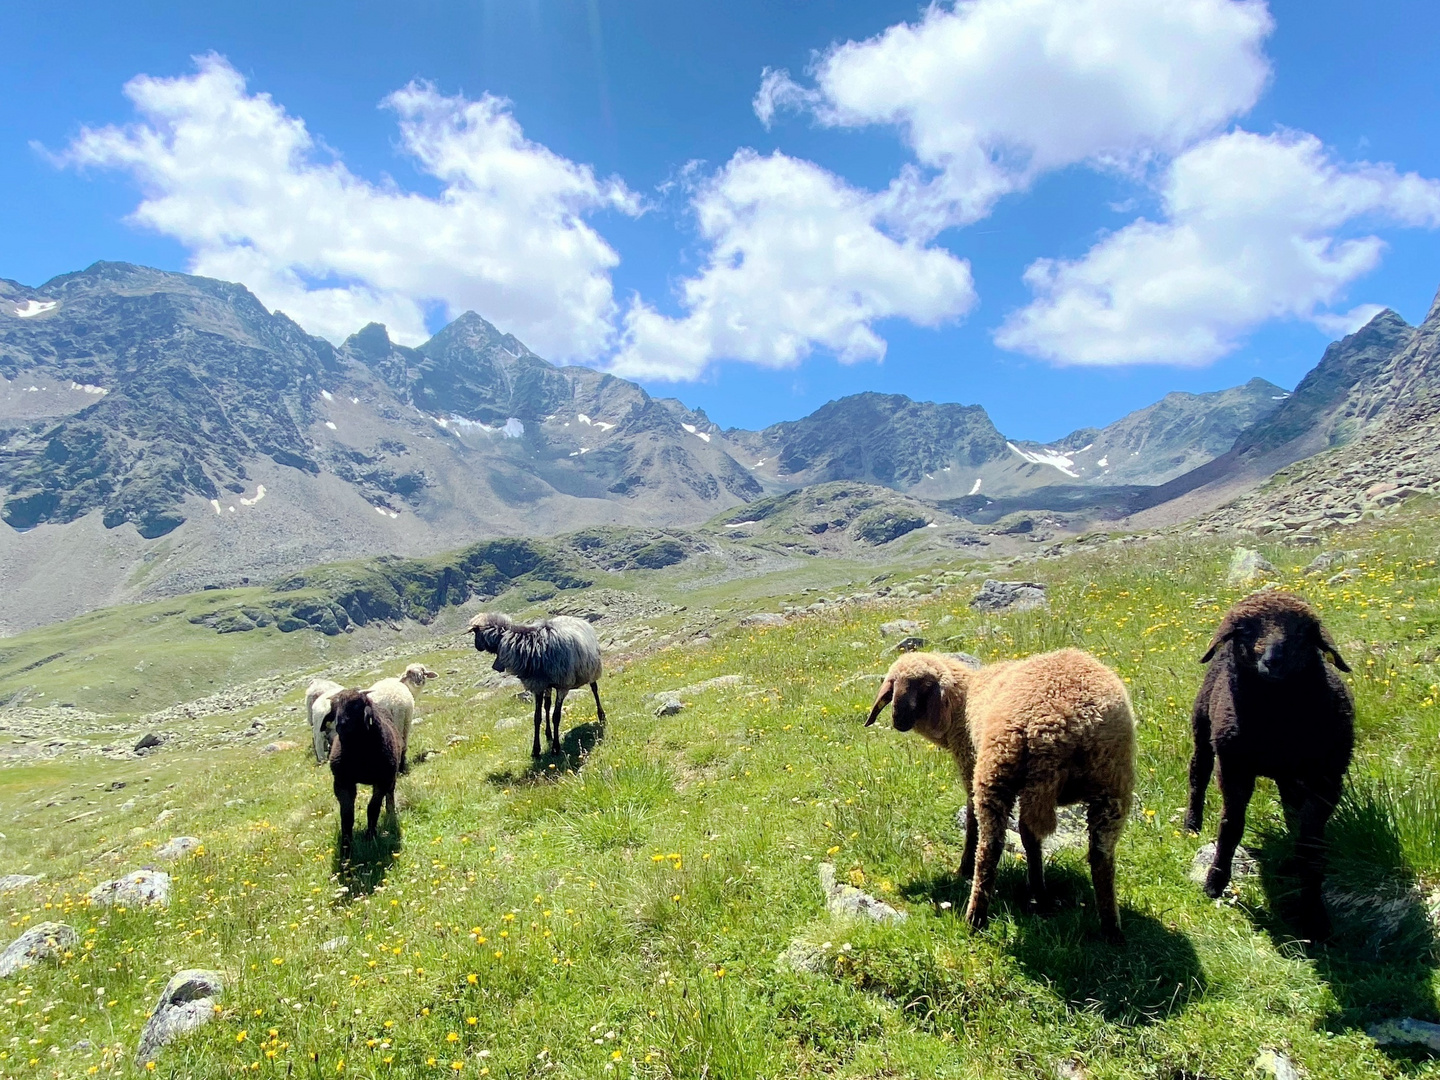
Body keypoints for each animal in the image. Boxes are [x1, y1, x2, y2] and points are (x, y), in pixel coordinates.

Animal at [328, 688, 406, 858]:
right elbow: (347, 815)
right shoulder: (342, 782)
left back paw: (391, 813)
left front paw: (370, 836)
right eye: (335, 708)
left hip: (391, 775)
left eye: (357, 706)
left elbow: (373, 808)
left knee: (390, 793)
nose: (340, 726)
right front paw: (346, 847)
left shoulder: (382, 781)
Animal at [469, 610, 604, 760]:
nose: (476, 646)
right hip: (548, 685)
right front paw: (536, 750)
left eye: (475, 632)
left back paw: (601, 716)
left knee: (595, 689)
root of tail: (578, 619)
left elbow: (556, 716)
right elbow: (537, 717)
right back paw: (548, 734)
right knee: (547, 705)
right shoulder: (538, 685)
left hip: (592, 670)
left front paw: (556, 748)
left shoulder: (563, 685)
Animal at [864, 648, 1134, 944]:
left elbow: (972, 821)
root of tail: (1059, 725)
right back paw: (1110, 929)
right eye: (893, 687)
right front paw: (1038, 891)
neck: (961, 705)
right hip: (1111, 784)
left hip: (995, 772)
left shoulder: (971, 766)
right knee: (1100, 856)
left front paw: (964, 868)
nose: (898, 721)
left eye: (923, 687)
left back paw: (975, 918)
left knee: (990, 848)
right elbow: (1030, 838)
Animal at [1180, 593, 1347, 938]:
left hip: (1292, 775)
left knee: (1291, 805)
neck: (1277, 723)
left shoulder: (1327, 780)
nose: (1274, 661)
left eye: (1303, 632)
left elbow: (1310, 845)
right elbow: (1231, 826)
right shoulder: (1233, 768)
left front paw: (1315, 915)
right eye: (1244, 631)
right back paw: (1192, 824)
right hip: (1203, 729)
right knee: (1198, 774)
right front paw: (1215, 882)